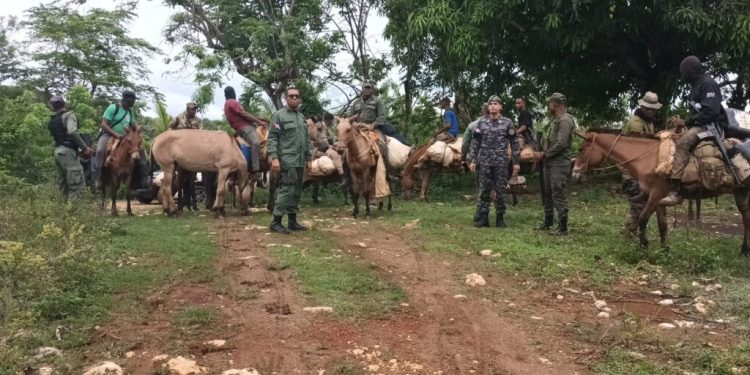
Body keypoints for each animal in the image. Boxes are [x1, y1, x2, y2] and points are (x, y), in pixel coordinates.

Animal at [568, 129, 750, 256]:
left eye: (581, 149)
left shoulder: (655, 195)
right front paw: (665, 250)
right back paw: (743, 250)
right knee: (746, 219)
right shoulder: (658, 198)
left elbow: (642, 219)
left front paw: (644, 245)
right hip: (740, 193)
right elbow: (662, 225)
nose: (574, 173)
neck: (647, 157)